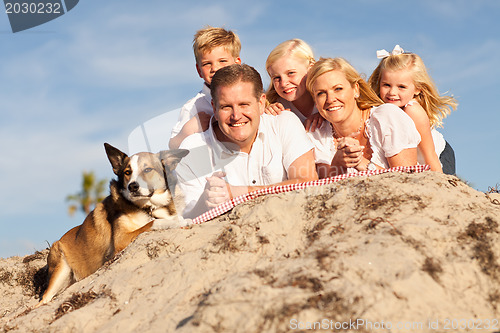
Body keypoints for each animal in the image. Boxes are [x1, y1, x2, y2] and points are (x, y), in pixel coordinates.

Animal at [35, 143, 188, 306]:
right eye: (127, 172)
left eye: (147, 169)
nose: (132, 186)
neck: (146, 207)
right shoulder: (121, 240)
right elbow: (152, 223)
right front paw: (174, 221)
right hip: (60, 268)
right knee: (43, 301)